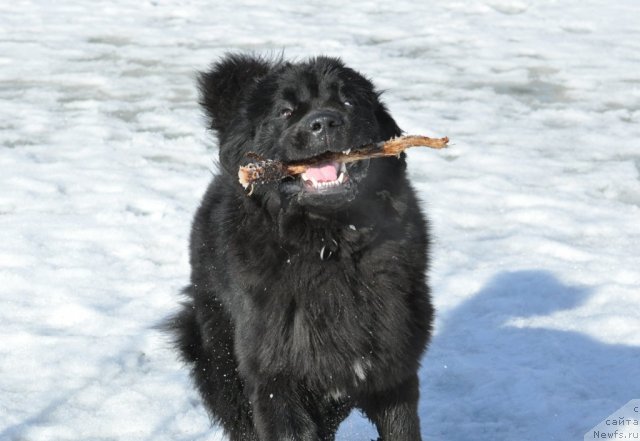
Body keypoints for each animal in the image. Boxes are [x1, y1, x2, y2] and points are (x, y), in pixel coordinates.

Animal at [166, 54, 436, 440]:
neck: (330, 247)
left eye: (348, 100)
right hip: (219, 357)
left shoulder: (393, 370)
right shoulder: (276, 380)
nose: (324, 122)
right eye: (285, 111)